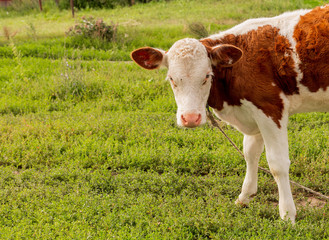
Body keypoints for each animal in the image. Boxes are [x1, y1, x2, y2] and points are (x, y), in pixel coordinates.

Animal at [131, 6, 328, 223]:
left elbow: (277, 164)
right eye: (171, 78)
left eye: (207, 76)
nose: (190, 118)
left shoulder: (270, 108)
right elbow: (250, 154)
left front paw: (287, 215)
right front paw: (244, 197)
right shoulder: (252, 112)